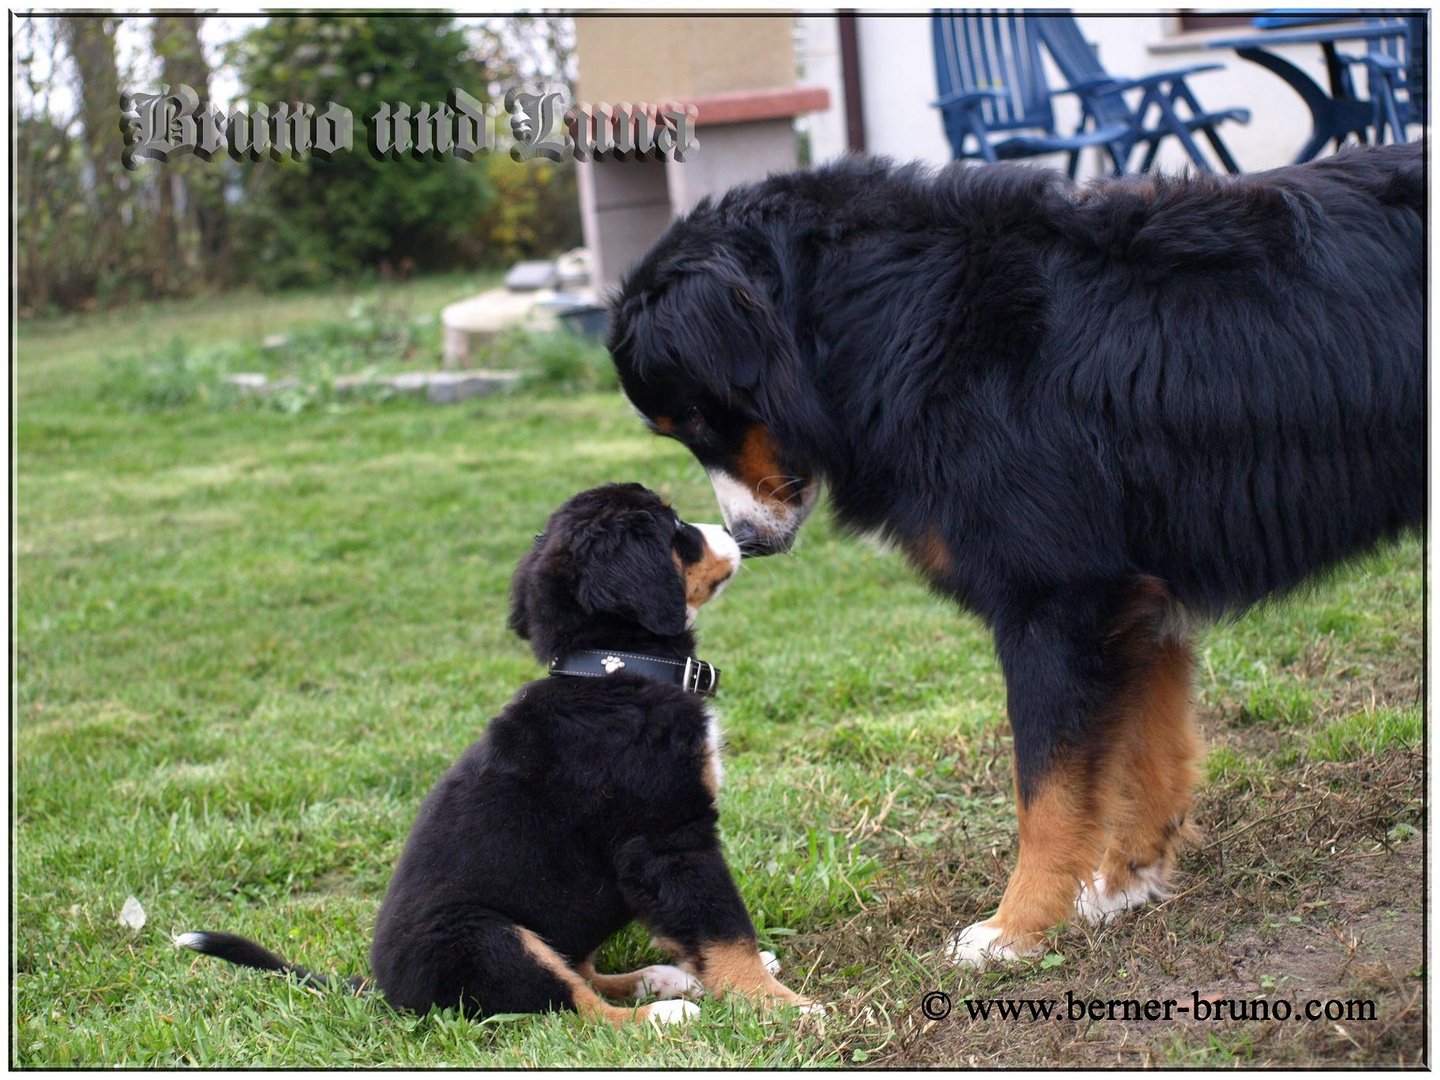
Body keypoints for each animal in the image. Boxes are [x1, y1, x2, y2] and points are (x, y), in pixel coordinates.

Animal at [180, 486, 817, 1025]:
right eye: (675, 528)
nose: (741, 534)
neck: (609, 671)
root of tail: (384, 992)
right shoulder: (667, 835)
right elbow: (721, 923)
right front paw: (777, 1003)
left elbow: (689, 923)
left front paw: (737, 978)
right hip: (486, 936)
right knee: (573, 1006)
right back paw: (663, 1010)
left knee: (579, 972)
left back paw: (661, 979)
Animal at [604, 141, 1416, 961]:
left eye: (700, 415)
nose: (745, 540)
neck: (893, 319)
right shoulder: (1134, 599)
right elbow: (1144, 754)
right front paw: (1124, 883)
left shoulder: (1055, 596)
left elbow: (1046, 788)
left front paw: (1013, 930)